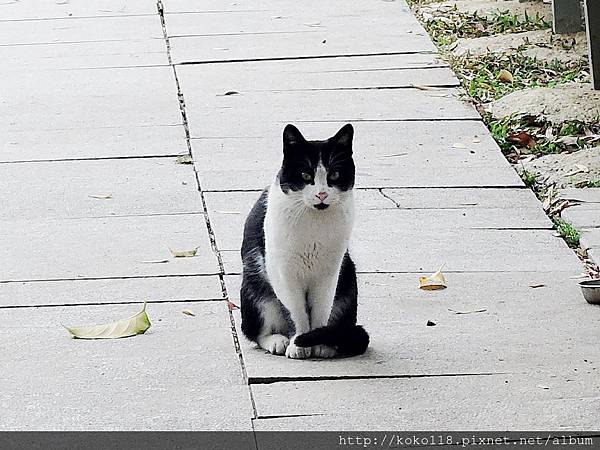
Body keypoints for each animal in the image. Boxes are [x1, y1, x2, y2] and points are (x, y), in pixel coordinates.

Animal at [240, 123, 370, 358]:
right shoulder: (284, 273)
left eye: (334, 174)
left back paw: (330, 342)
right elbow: (295, 311)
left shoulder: (329, 273)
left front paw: (317, 342)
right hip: (255, 289)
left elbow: (321, 309)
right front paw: (298, 343)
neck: (314, 222)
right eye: (305, 174)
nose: (321, 194)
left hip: (348, 278)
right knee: (256, 331)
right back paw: (277, 340)